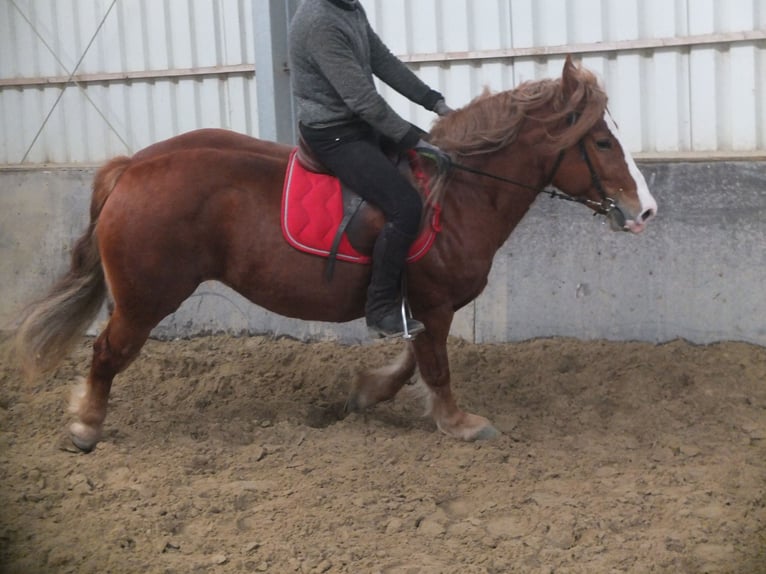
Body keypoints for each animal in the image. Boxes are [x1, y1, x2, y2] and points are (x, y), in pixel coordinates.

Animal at [12, 56, 660, 452]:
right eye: (601, 141)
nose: (646, 210)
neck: (460, 193)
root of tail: (133, 167)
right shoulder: (433, 303)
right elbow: (436, 365)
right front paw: (459, 424)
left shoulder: (413, 303)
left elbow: (410, 360)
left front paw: (367, 393)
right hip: (146, 300)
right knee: (106, 352)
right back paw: (86, 426)